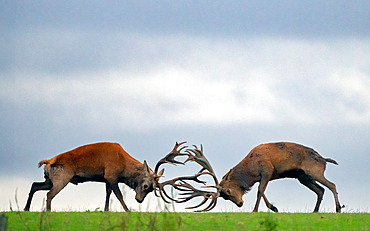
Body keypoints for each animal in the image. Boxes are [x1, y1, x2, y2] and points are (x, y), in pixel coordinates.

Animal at [23, 142, 177, 212]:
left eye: (151, 189)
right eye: (145, 185)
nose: (139, 200)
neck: (123, 167)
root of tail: (48, 162)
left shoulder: (106, 178)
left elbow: (108, 194)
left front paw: (106, 210)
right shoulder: (112, 175)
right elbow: (119, 195)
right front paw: (127, 210)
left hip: (49, 179)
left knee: (35, 185)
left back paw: (26, 208)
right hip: (62, 178)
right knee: (49, 194)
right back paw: (48, 211)